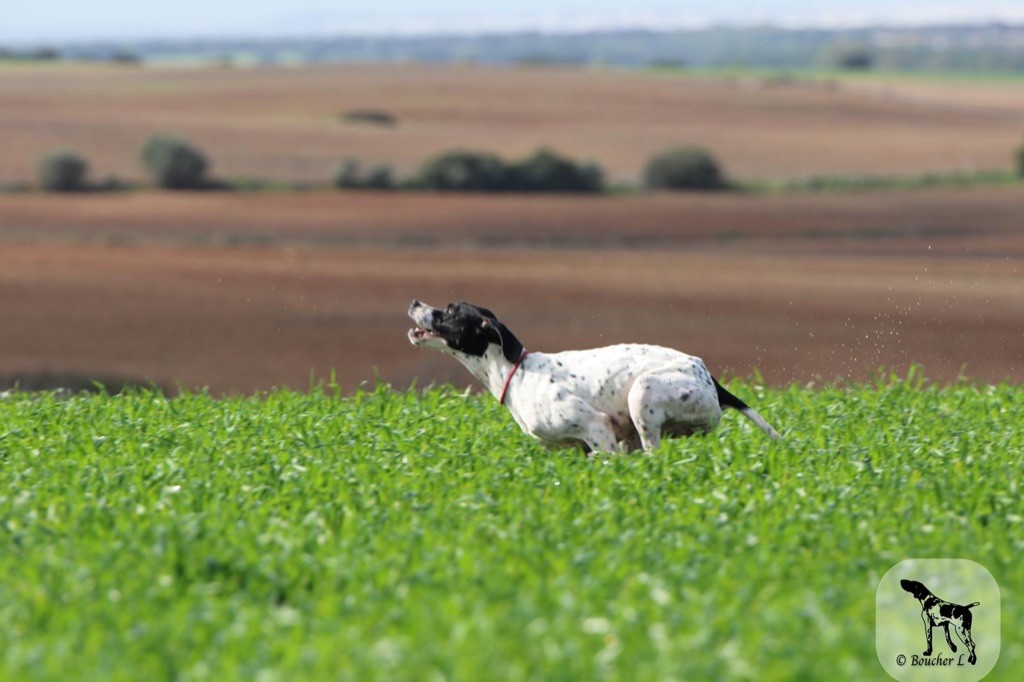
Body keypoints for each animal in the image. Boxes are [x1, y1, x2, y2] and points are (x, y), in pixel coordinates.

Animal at [403, 299, 778, 450]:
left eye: (450, 310)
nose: (415, 302)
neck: (516, 372)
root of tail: (708, 376)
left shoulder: (598, 430)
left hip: (643, 393)